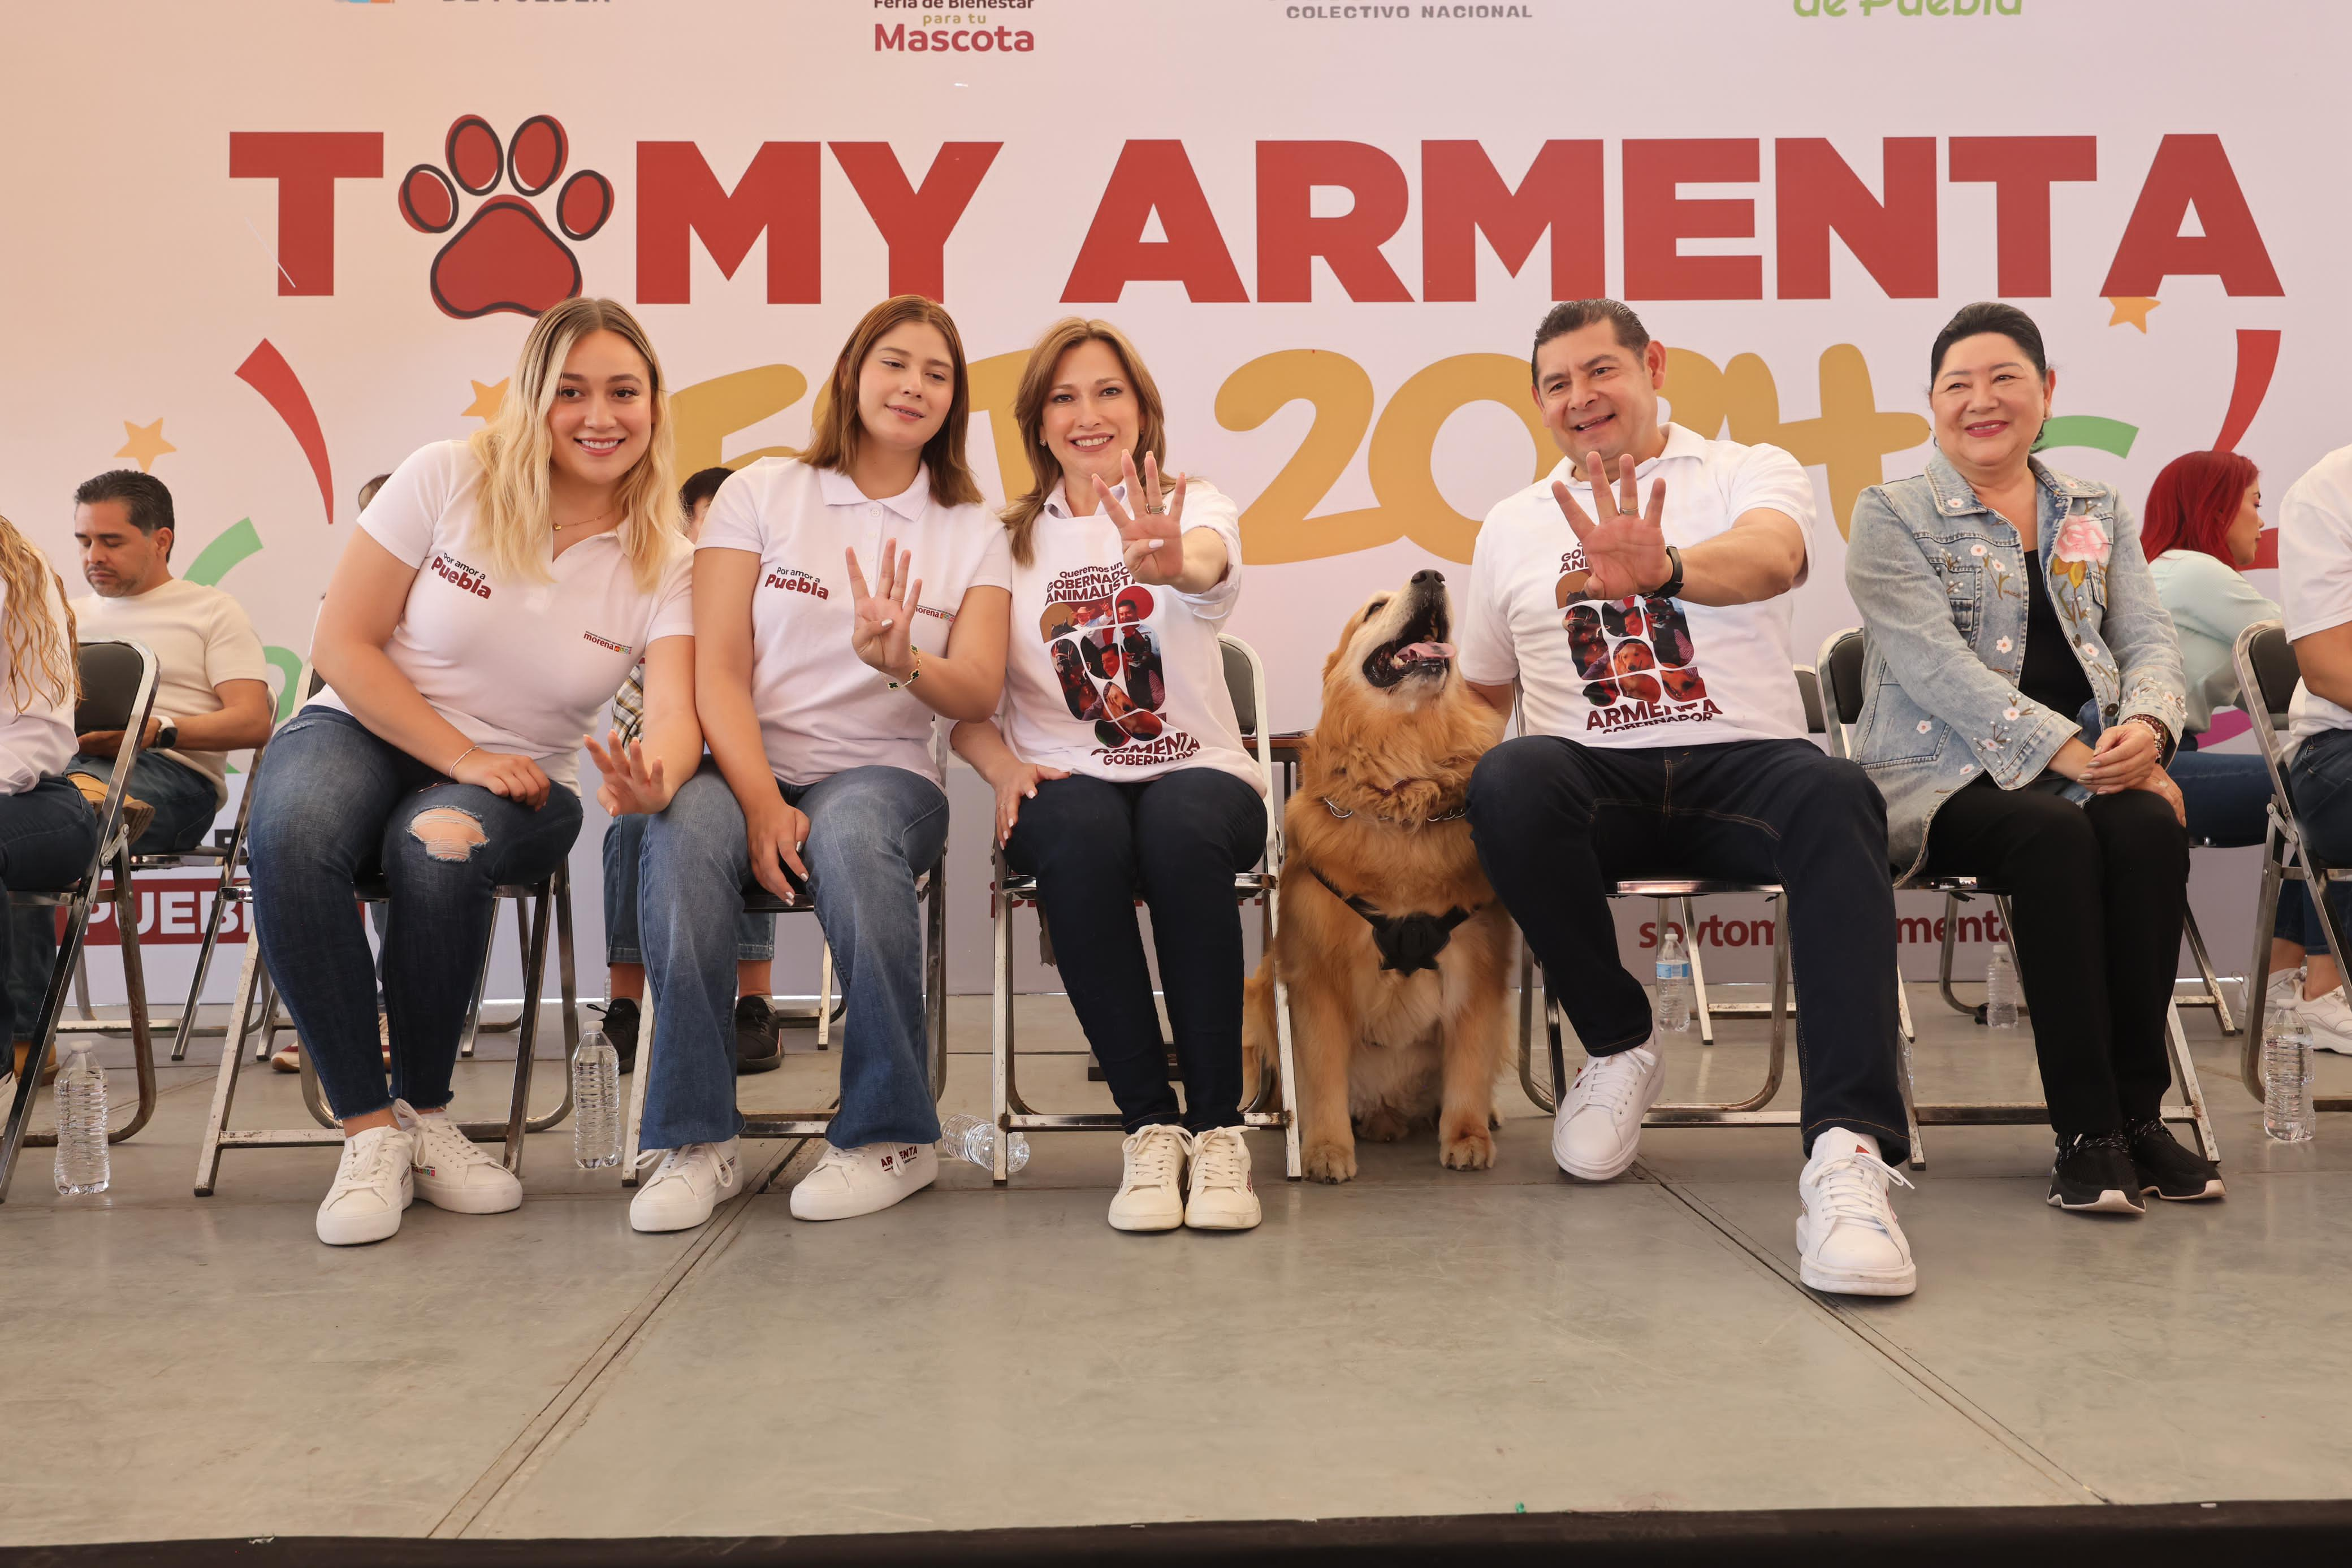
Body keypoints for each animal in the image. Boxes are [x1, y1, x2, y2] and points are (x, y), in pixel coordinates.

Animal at [1242, 571, 1515, 1185]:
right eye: (1373, 609)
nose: (1430, 576)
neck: (1401, 799)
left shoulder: (1477, 970)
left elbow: (1468, 1065)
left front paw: (1466, 1136)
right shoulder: (1316, 977)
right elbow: (1322, 1076)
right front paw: (1324, 1148)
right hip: (1257, 991)